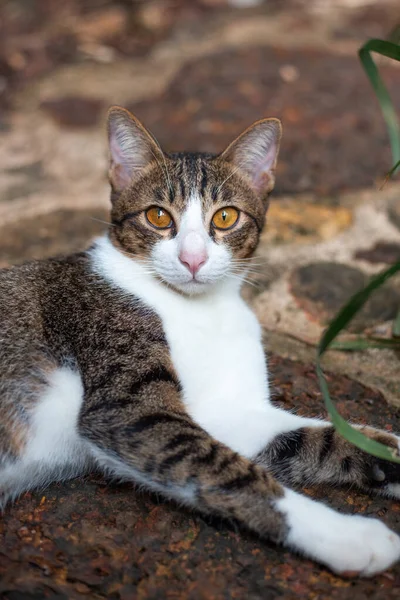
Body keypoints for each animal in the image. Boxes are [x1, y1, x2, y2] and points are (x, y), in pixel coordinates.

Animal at [0, 106, 400, 576]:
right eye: (158, 216)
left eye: (225, 217)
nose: (193, 259)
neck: (204, 312)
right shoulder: (129, 410)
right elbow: (231, 472)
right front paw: (350, 536)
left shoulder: (225, 409)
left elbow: (313, 437)